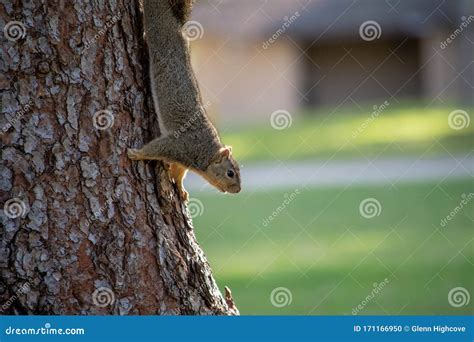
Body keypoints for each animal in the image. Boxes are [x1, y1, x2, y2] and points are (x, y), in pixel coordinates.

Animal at [127, 0, 241, 200]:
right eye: (230, 173)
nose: (238, 190)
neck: (206, 152)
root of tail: (178, 29)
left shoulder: (182, 161)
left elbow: (178, 173)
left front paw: (180, 189)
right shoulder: (179, 146)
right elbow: (155, 148)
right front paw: (137, 153)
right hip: (159, 29)